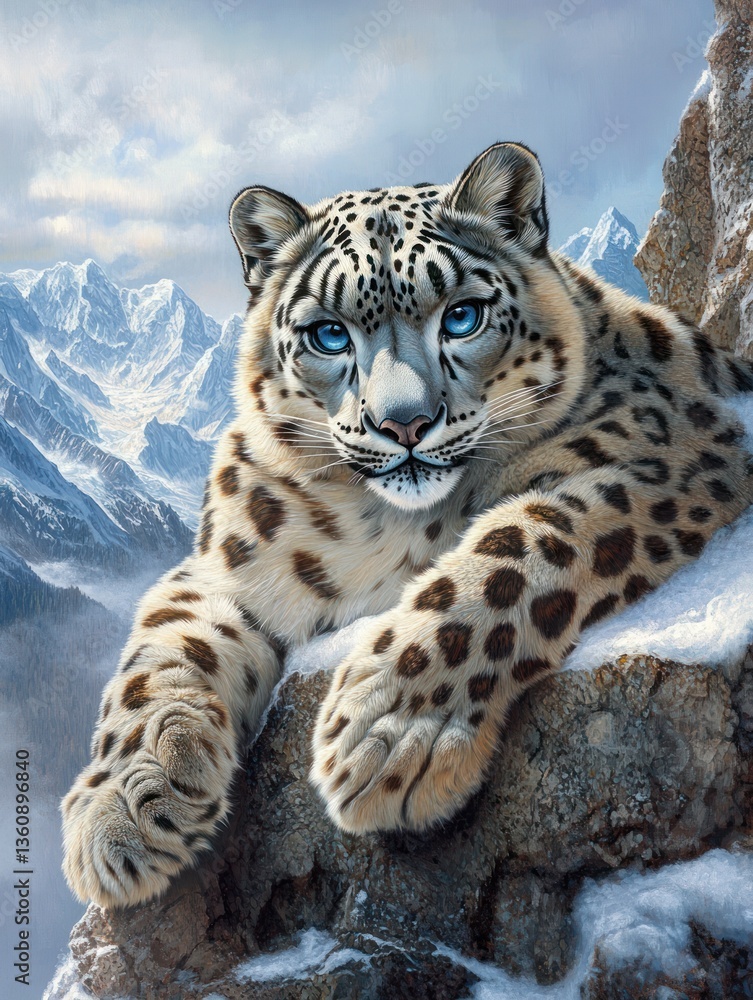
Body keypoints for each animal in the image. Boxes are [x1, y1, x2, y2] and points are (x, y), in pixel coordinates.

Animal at [61, 141, 753, 909]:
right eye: (328, 334)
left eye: (462, 316)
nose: (404, 423)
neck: (381, 523)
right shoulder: (225, 563)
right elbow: (160, 651)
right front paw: (125, 808)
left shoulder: (672, 456)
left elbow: (517, 549)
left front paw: (387, 737)